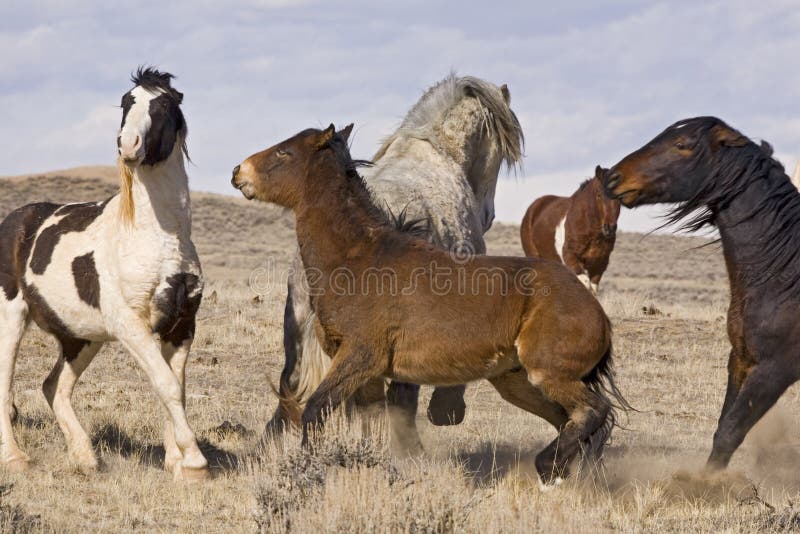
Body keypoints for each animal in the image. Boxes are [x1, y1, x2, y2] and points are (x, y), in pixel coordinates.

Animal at [0, 68, 208, 482]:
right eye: (127, 101)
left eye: (164, 103)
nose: (127, 144)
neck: (157, 236)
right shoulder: (131, 326)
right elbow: (166, 385)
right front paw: (194, 462)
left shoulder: (182, 325)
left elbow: (174, 388)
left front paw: (176, 462)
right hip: (11, 316)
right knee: (6, 385)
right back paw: (15, 459)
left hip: (80, 337)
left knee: (54, 387)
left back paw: (85, 457)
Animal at [520, 165, 620, 296]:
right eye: (599, 195)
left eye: (620, 197)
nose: (610, 228)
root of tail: (533, 207)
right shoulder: (571, 257)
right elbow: (585, 283)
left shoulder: (599, 264)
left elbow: (593, 289)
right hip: (534, 256)